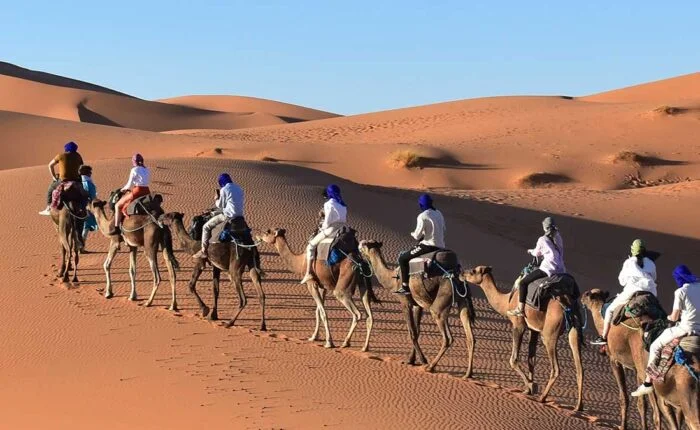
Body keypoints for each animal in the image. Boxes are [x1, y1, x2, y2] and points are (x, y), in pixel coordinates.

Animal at [358, 240, 476, 377]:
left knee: (447, 337)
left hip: (441, 302)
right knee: (470, 337)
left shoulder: (405, 302)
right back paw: (468, 374)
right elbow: (417, 331)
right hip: (462, 300)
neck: (392, 279)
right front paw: (411, 360)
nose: (359, 244)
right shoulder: (418, 305)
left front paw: (422, 360)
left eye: (365, 244)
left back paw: (430, 366)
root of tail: (457, 275)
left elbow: (412, 332)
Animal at [460, 266, 584, 411]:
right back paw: (578, 406)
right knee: (580, 368)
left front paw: (531, 386)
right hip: (574, 330)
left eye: (473, 271)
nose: (462, 273)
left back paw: (543, 398)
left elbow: (513, 360)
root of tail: (568, 304)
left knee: (556, 368)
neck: (506, 302)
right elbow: (531, 359)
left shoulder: (518, 325)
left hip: (549, 334)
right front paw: (528, 388)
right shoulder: (533, 329)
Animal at [582, 289, 700, 430]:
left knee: (661, 415)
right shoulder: (637, 369)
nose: (581, 297)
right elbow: (641, 404)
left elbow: (624, 397)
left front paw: (623, 426)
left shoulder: (614, 360)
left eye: (588, 294)